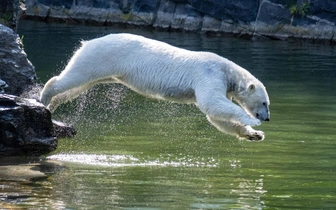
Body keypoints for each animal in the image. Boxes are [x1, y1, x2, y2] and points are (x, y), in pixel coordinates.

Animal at [40, 33, 270, 141]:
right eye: (264, 103)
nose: (267, 118)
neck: (227, 71)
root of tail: (89, 42)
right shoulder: (209, 75)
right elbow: (212, 103)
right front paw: (253, 122)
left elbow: (216, 117)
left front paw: (254, 135)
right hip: (101, 56)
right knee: (72, 78)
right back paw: (44, 97)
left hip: (103, 70)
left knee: (76, 87)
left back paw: (53, 105)